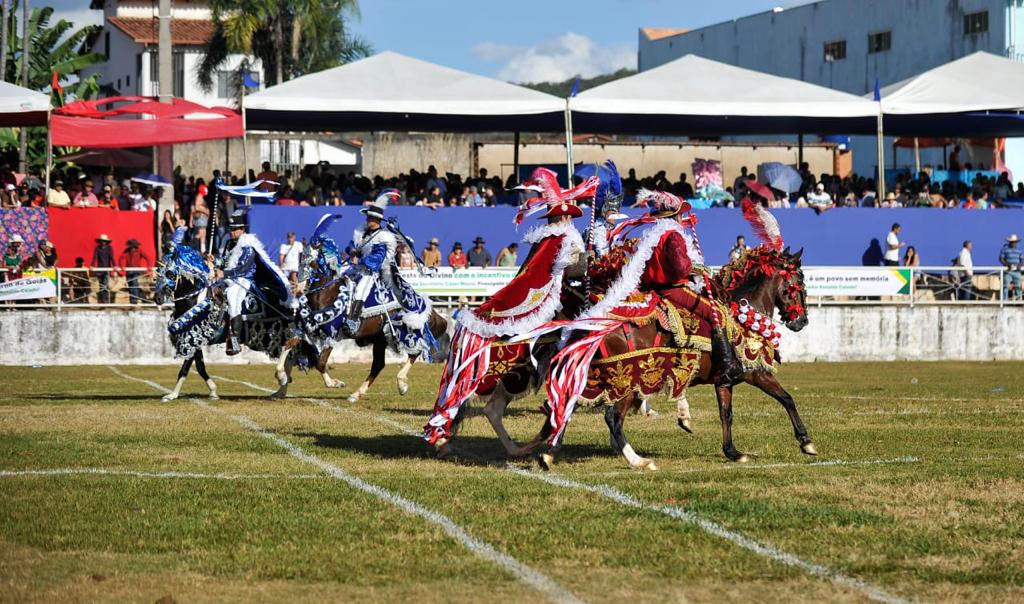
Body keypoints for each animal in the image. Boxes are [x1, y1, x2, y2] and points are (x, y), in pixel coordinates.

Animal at [294, 243, 450, 405]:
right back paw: (357, 394)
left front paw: (336, 383)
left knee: (415, 352)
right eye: (300, 258)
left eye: (310, 261)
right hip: (380, 339)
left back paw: (401, 383)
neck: (328, 293)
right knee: (378, 365)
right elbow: (306, 354)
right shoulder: (307, 332)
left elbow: (320, 362)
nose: (299, 289)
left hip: (405, 334)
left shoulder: (333, 334)